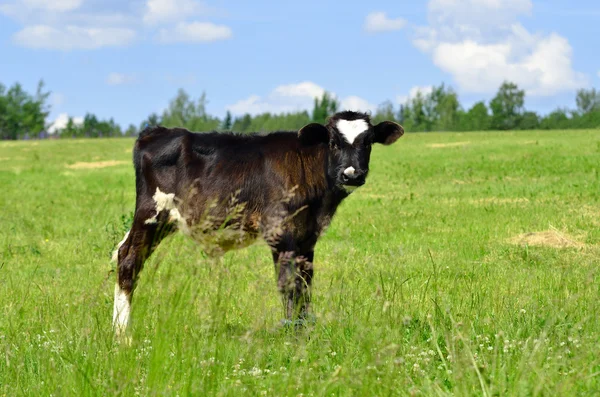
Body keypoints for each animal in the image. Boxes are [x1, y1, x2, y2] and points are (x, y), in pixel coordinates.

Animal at [112, 110, 404, 336]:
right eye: (333, 142)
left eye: (368, 142)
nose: (351, 174)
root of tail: (155, 132)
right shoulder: (280, 232)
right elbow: (289, 285)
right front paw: (293, 336)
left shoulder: (306, 238)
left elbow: (305, 284)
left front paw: (304, 332)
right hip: (151, 214)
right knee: (128, 259)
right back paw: (122, 335)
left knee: (121, 251)